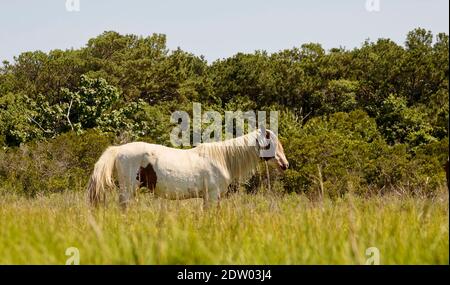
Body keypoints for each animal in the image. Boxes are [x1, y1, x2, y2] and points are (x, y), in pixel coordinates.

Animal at [87, 128, 288, 206]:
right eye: (272, 143)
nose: (285, 164)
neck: (222, 158)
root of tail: (119, 149)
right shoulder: (212, 195)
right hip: (128, 189)